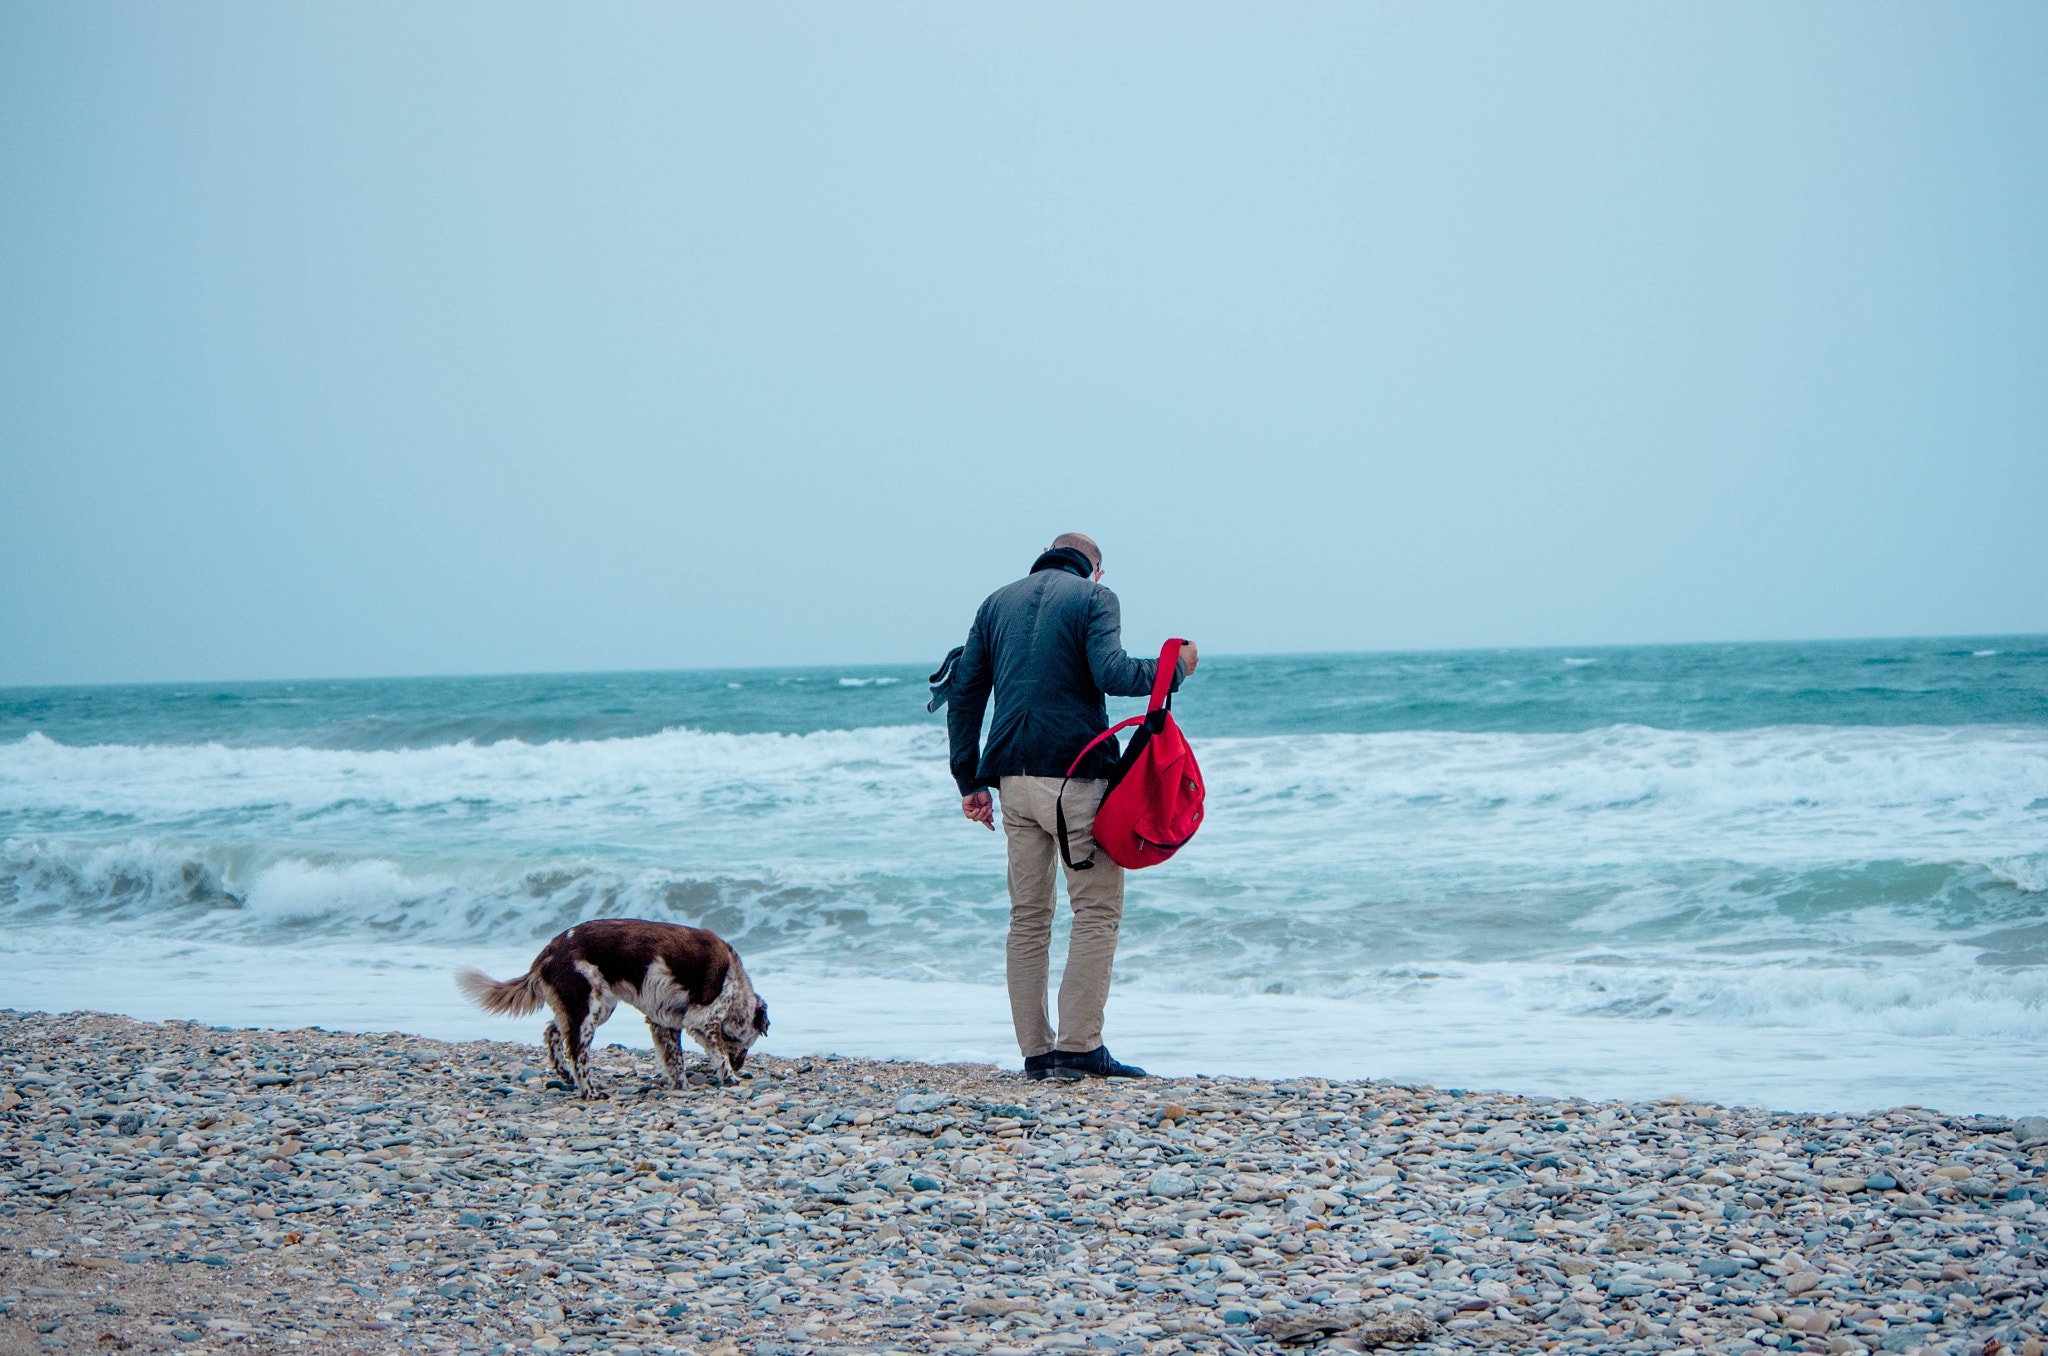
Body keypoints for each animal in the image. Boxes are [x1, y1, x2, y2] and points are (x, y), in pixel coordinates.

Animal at [456, 917, 770, 1097]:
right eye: (749, 1044)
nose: (742, 1067)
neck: (736, 983)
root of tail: (549, 950)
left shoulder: (664, 1023)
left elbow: (675, 1062)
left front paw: (682, 1087)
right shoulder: (702, 1020)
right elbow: (718, 1055)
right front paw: (730, 1078)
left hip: (586, 1008)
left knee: (553, 1034)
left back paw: (565, 1075)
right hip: (591, 1008)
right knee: (577, 1053)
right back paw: (590, 1092)